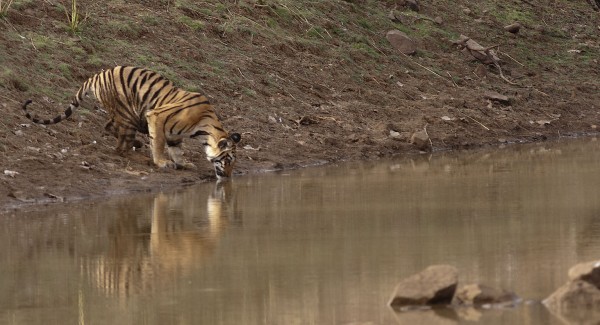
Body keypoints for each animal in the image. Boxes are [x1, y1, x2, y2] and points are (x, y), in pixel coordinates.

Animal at [21, 65, 241, 178]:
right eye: (228, 161)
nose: (228, 177)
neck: (205, 129)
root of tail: (97, 75)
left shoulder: (175, 135)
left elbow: (176, 150)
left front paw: (182, 163)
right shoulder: (157, 116)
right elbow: (158, 144)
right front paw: (162, 162)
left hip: (125, 115)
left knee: (109, 127)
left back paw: (137, 144)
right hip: (129, 115)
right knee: (121, 148)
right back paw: (141, 155)